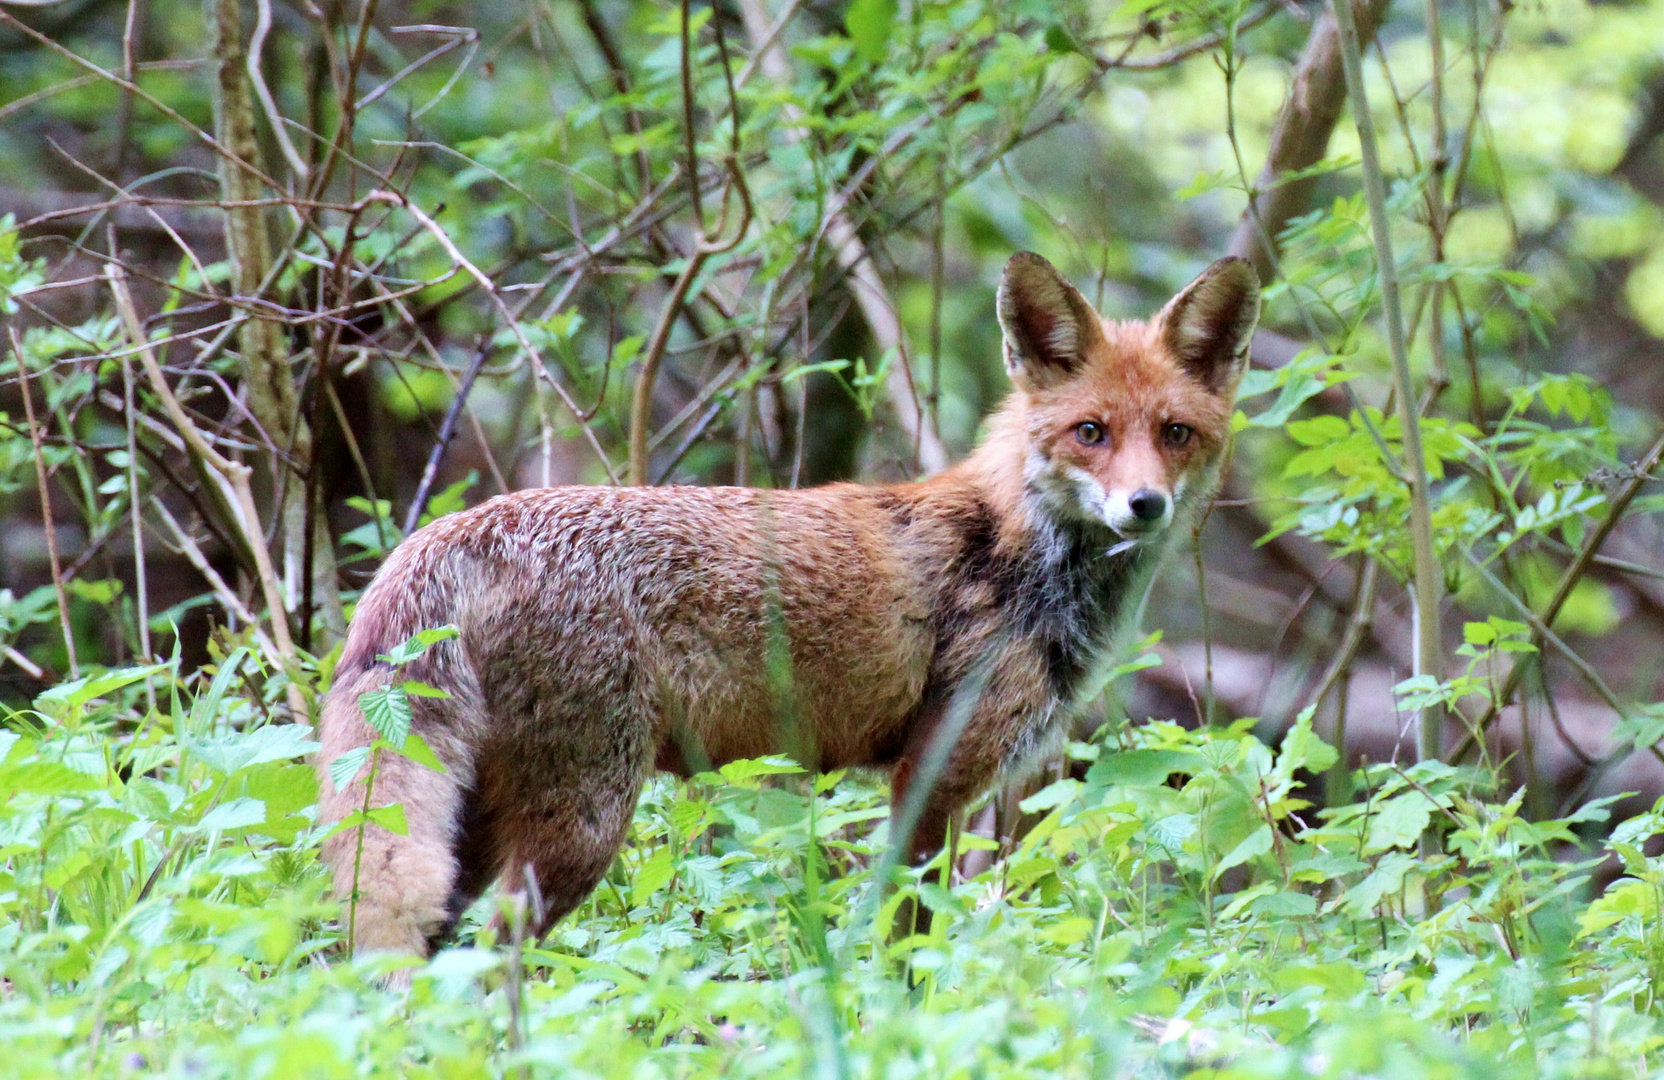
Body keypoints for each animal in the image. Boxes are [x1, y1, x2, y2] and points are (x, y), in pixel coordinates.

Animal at [317, 251, 1257, 958]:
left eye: (1175, 434)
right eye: (1091, 433)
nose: (1144, 506)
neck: (1018, 551)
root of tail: (456, 529)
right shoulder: (932, 779)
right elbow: (907, 943)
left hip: (480, 825)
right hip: (582, 822)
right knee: (491, 956)